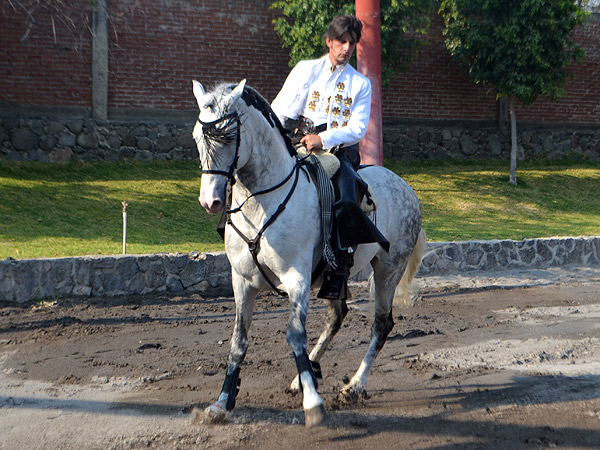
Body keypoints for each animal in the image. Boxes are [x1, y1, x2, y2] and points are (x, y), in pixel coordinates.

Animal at [193, 79, 426, 428]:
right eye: (197, 135)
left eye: (229, 136)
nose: (211, 201)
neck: (262, 202)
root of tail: (406, 188)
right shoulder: (242, 281)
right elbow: (238, 340)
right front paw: (222, 401)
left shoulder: (297, 279)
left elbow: (294, 335)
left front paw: (313, 403)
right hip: (336, 276)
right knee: (337, 316)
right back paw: (303, 378)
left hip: (388, 268)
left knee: (381, 325)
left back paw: (354, 386)